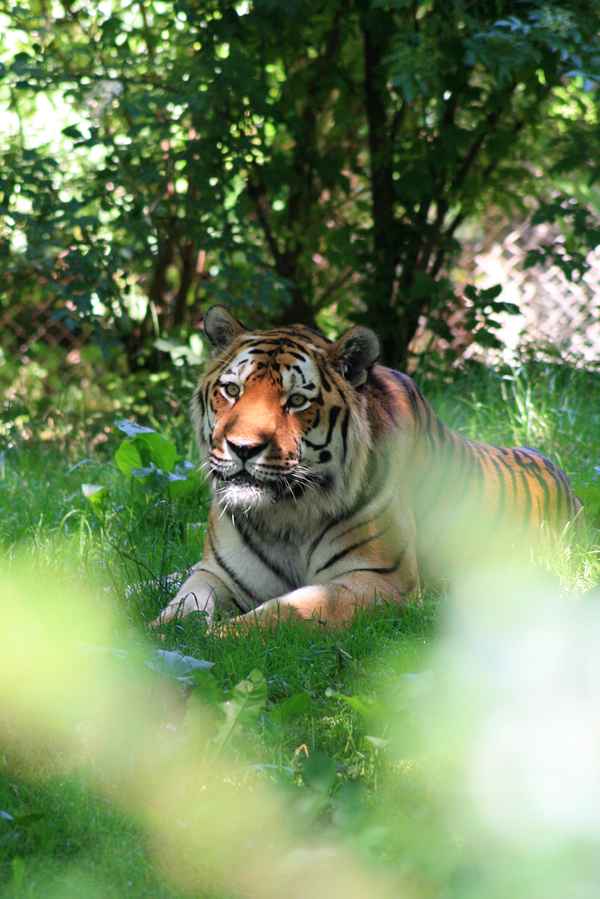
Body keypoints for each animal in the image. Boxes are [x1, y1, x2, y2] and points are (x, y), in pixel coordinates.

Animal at [153, 305, 581, 629]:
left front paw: (212, 640)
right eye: (232, 390)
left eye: (296, 401)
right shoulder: (216, 573)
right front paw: (162, 638)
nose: (243, 448)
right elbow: (183, 607)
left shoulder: (373, 579)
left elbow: (279, 613)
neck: (284, 516)